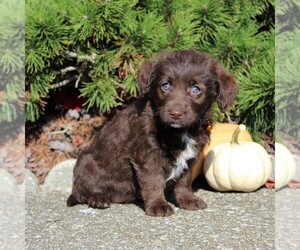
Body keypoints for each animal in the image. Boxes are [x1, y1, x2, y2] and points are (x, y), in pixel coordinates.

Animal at [67, 49, 238, 216]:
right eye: (166, 85)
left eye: (196, 89)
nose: (175, 113)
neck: (181, 131)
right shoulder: (147, 154)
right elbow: (153, 181)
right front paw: (158, 205)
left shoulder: (191, 157)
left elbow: (184, 180)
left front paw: (187, 200)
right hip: (85, 163)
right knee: (80, 193)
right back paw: (98, 199)